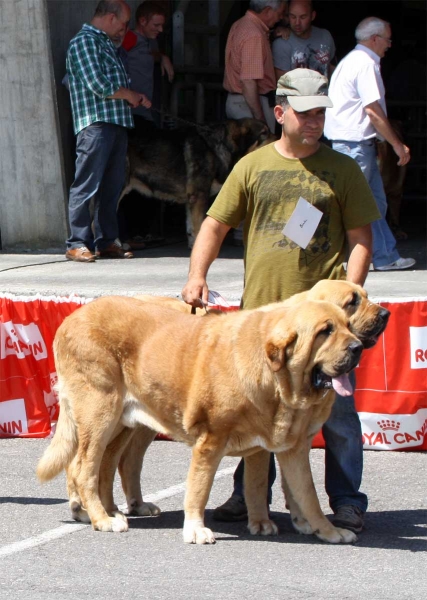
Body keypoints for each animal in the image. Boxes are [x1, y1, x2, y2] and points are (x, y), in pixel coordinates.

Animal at [118, 119, 276, 246]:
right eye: (264, 133)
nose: (279, 138)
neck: (220, 147)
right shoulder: (199, 196)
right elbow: (198, 226)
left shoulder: (191, 199)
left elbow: (191, 228)